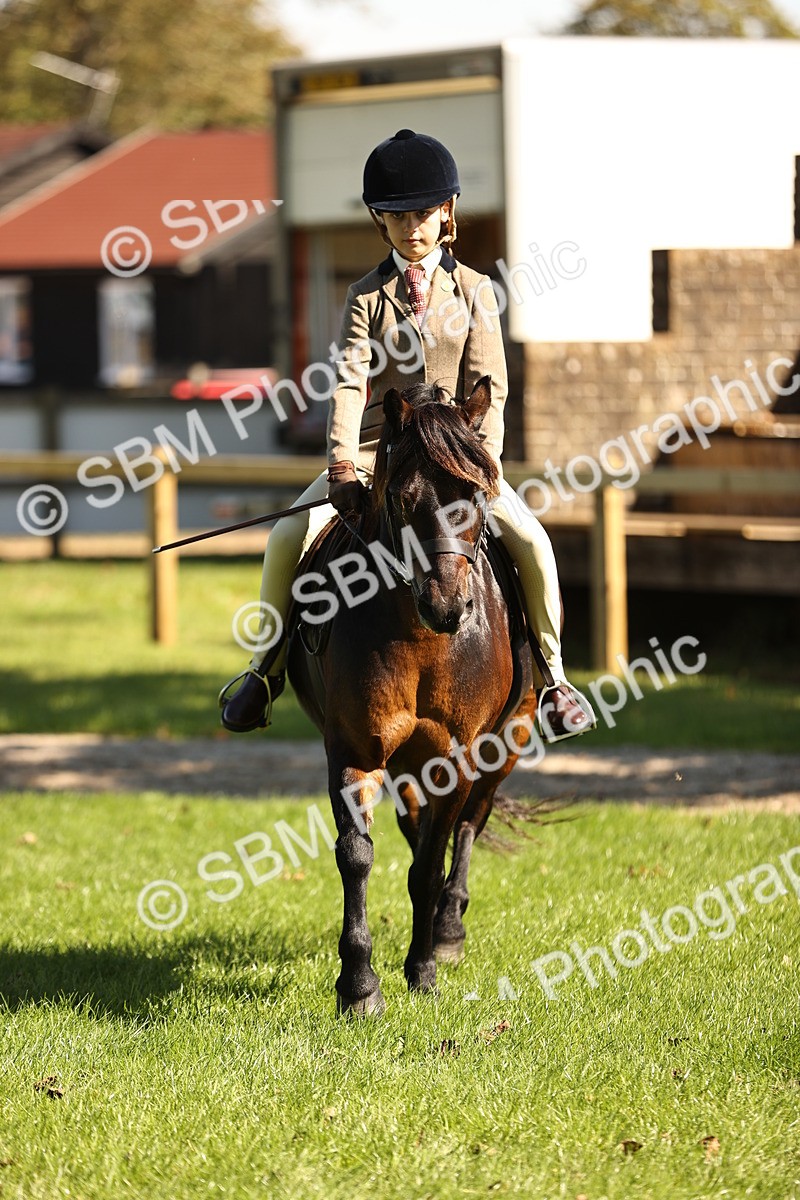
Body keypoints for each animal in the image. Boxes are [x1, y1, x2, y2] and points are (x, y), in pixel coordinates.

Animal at [286, 376, 540, 1015]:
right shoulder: (354, 749)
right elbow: (357, 854)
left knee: (469, 824)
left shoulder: (459, 755)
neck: (421, 637)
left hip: (507, 741)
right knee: (416, 824)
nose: (448, 606)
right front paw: (359, 986)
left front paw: (423, 969)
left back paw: (447, 929)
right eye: (404, 498)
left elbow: (430, 861)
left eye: (476, 494)